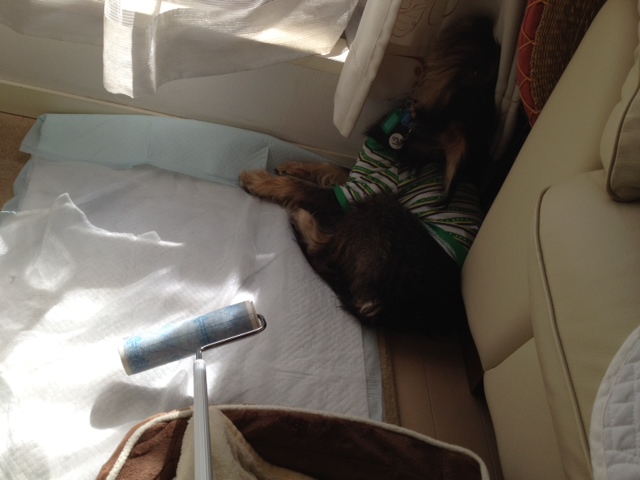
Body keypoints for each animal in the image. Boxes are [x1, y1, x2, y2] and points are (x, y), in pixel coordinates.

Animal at [240, 16, 500, 334]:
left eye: (476, 72)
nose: (485, 22)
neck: (415, 131)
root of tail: (383, 310)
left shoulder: (360, 192)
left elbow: (302, 188)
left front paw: (262, 181)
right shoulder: (360, 175)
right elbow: (331, 168)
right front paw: (295, 166)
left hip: (381, 209)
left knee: (322, 249)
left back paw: (302, 218)